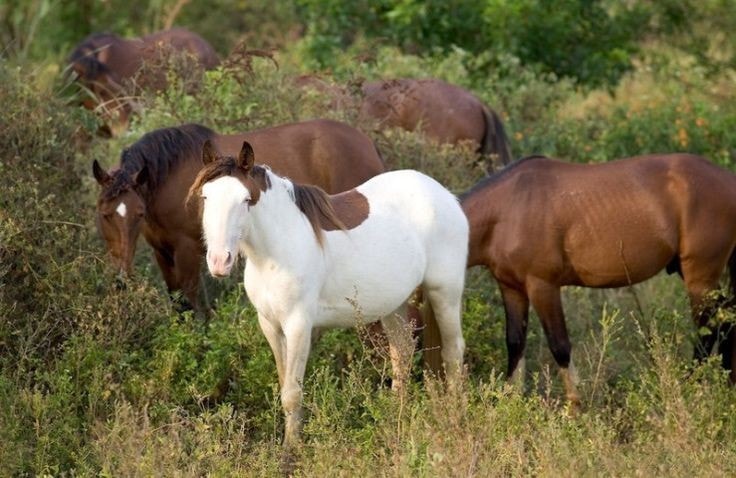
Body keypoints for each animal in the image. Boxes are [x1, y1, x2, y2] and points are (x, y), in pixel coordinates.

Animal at [92, 119, 386, 314]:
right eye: (104, 214)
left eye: (138, 213)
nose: (121, 278)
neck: (168, 177)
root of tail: (368, 144)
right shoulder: (162, 252)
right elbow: (178, 301)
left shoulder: (187, 252)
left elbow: (192, 302)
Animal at [188, 141, 466, 448]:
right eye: (205, 196)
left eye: (246, 200)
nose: (219, 261)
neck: (277, 250)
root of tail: (445, 196)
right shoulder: (270, 325)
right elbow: (284, 384)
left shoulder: (298, 326)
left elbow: (292, 394)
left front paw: (291, 450)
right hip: (394, 304)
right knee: (402, 351)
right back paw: (396, 416)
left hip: (445, 293)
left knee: (453, 352)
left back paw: (454, 419)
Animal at [462, 153, 736, 404]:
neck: (508, 209)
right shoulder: (511, 288)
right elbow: (515, 343)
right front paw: (512, 403)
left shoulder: (543, 287)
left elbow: (560, 346)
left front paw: (576, 408)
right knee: (726, 322)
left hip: (700, 278)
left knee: (708, 331)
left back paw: (693, 389)